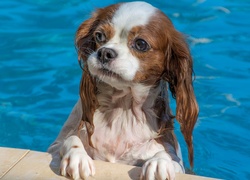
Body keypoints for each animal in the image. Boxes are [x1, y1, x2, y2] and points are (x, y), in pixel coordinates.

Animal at [47, 1, 198, 180]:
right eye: (99, 36)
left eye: (141, 44)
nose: (105, 52)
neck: (122, 107)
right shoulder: (55, 146)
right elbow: (70, 139)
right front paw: (77, 157)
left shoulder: (174, 158)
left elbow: (165, 155)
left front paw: (159, 163)